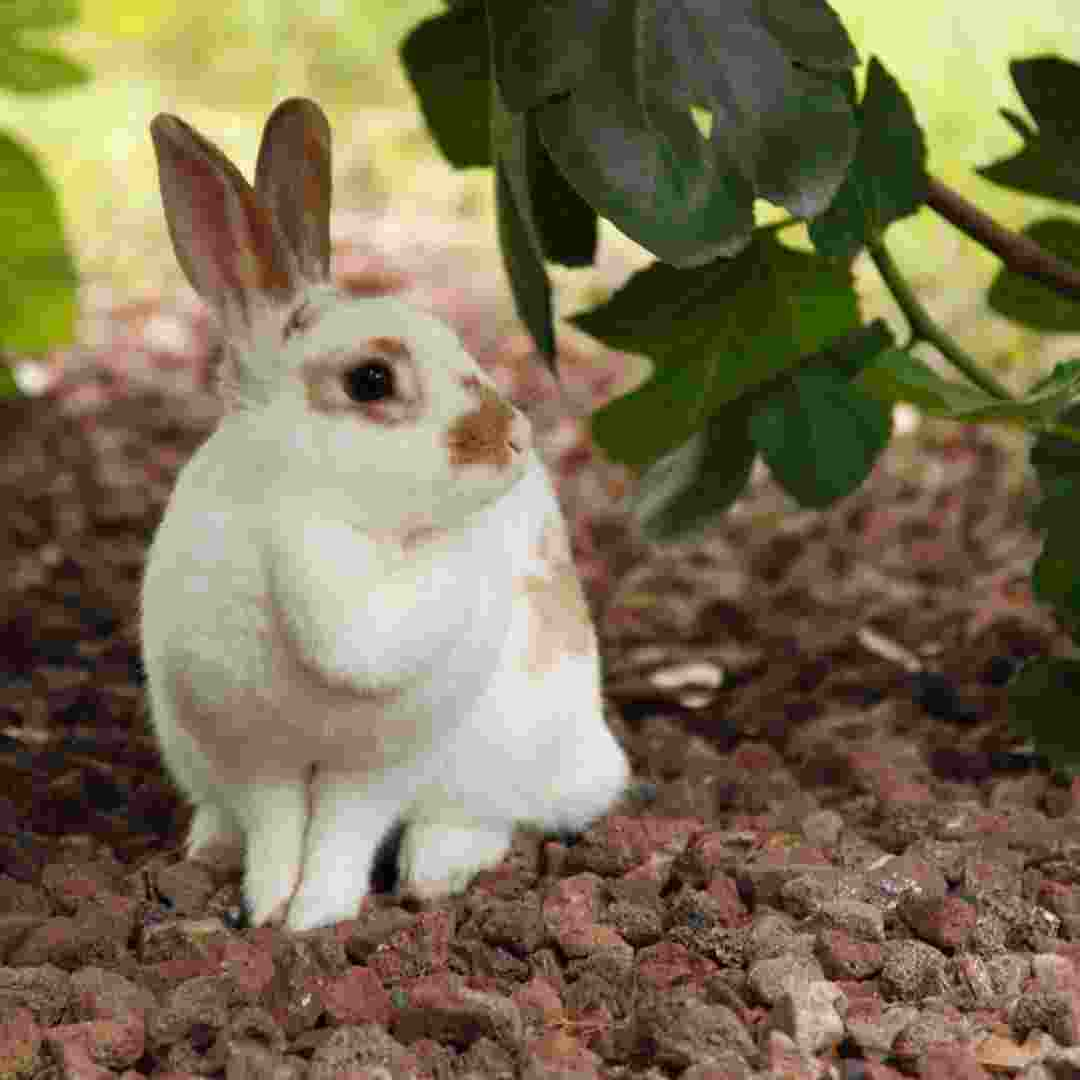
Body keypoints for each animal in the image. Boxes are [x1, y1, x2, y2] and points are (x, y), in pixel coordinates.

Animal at [142, 97, 630, 933]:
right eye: (371, 380)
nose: (516, 438)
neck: (308, 507)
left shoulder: (376, 767)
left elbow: (342, 836)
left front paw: (318, 916)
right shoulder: (256, 756)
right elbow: (277, 832)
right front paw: (269, 908)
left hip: (509, 756)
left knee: (485, 817)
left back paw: (435, 871)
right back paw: (210, 845)